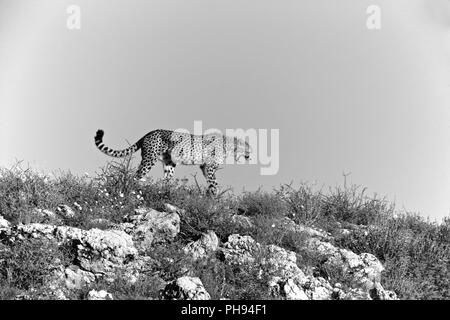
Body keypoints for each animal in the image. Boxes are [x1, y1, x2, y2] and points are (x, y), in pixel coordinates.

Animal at [94, 129, 251, 195]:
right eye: (248, 148)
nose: (251, 155)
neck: (229, 145)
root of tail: (150, 132)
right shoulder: (210, 166)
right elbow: (214, 182)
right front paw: (215, 194)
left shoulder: (204, 166)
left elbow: (209, 180)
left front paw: (210, 194)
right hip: (149, 159)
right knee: (137, 176)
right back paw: (135, 190)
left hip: (169, 163)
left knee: (166, 181)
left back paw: (167, 192)